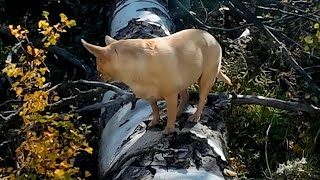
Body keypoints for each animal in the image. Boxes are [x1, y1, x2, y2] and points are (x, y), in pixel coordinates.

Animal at [81, 28, 231, 134]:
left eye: (98, 67)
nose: (99, 77)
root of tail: (212, 38)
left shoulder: (170, 95)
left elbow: (170, 112)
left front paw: (169, 128)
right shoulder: (150, 96)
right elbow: (154, 109)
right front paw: (155, 121)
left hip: (206, 78)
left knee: (202, 99)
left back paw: (195, 116)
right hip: (184, 80)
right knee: (185, 97)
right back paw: (179, 112)